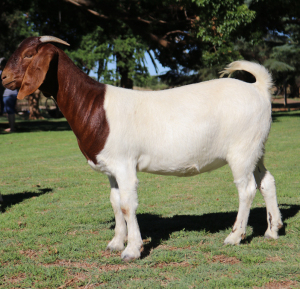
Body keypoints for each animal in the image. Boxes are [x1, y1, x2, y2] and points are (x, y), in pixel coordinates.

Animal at [1, 36, 284, 260]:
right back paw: (272, 230)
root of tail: (259, 88)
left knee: (246, 189)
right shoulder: (111, 169)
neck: (95, 107)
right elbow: (115, 202)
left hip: (241, 150)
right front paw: (116, 243)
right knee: (266, 181)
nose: (3, 76)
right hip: (256, 149)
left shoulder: (125, 164)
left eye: (28, 54)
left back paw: (234, 237)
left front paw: (132, 250)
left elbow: (128, 204)